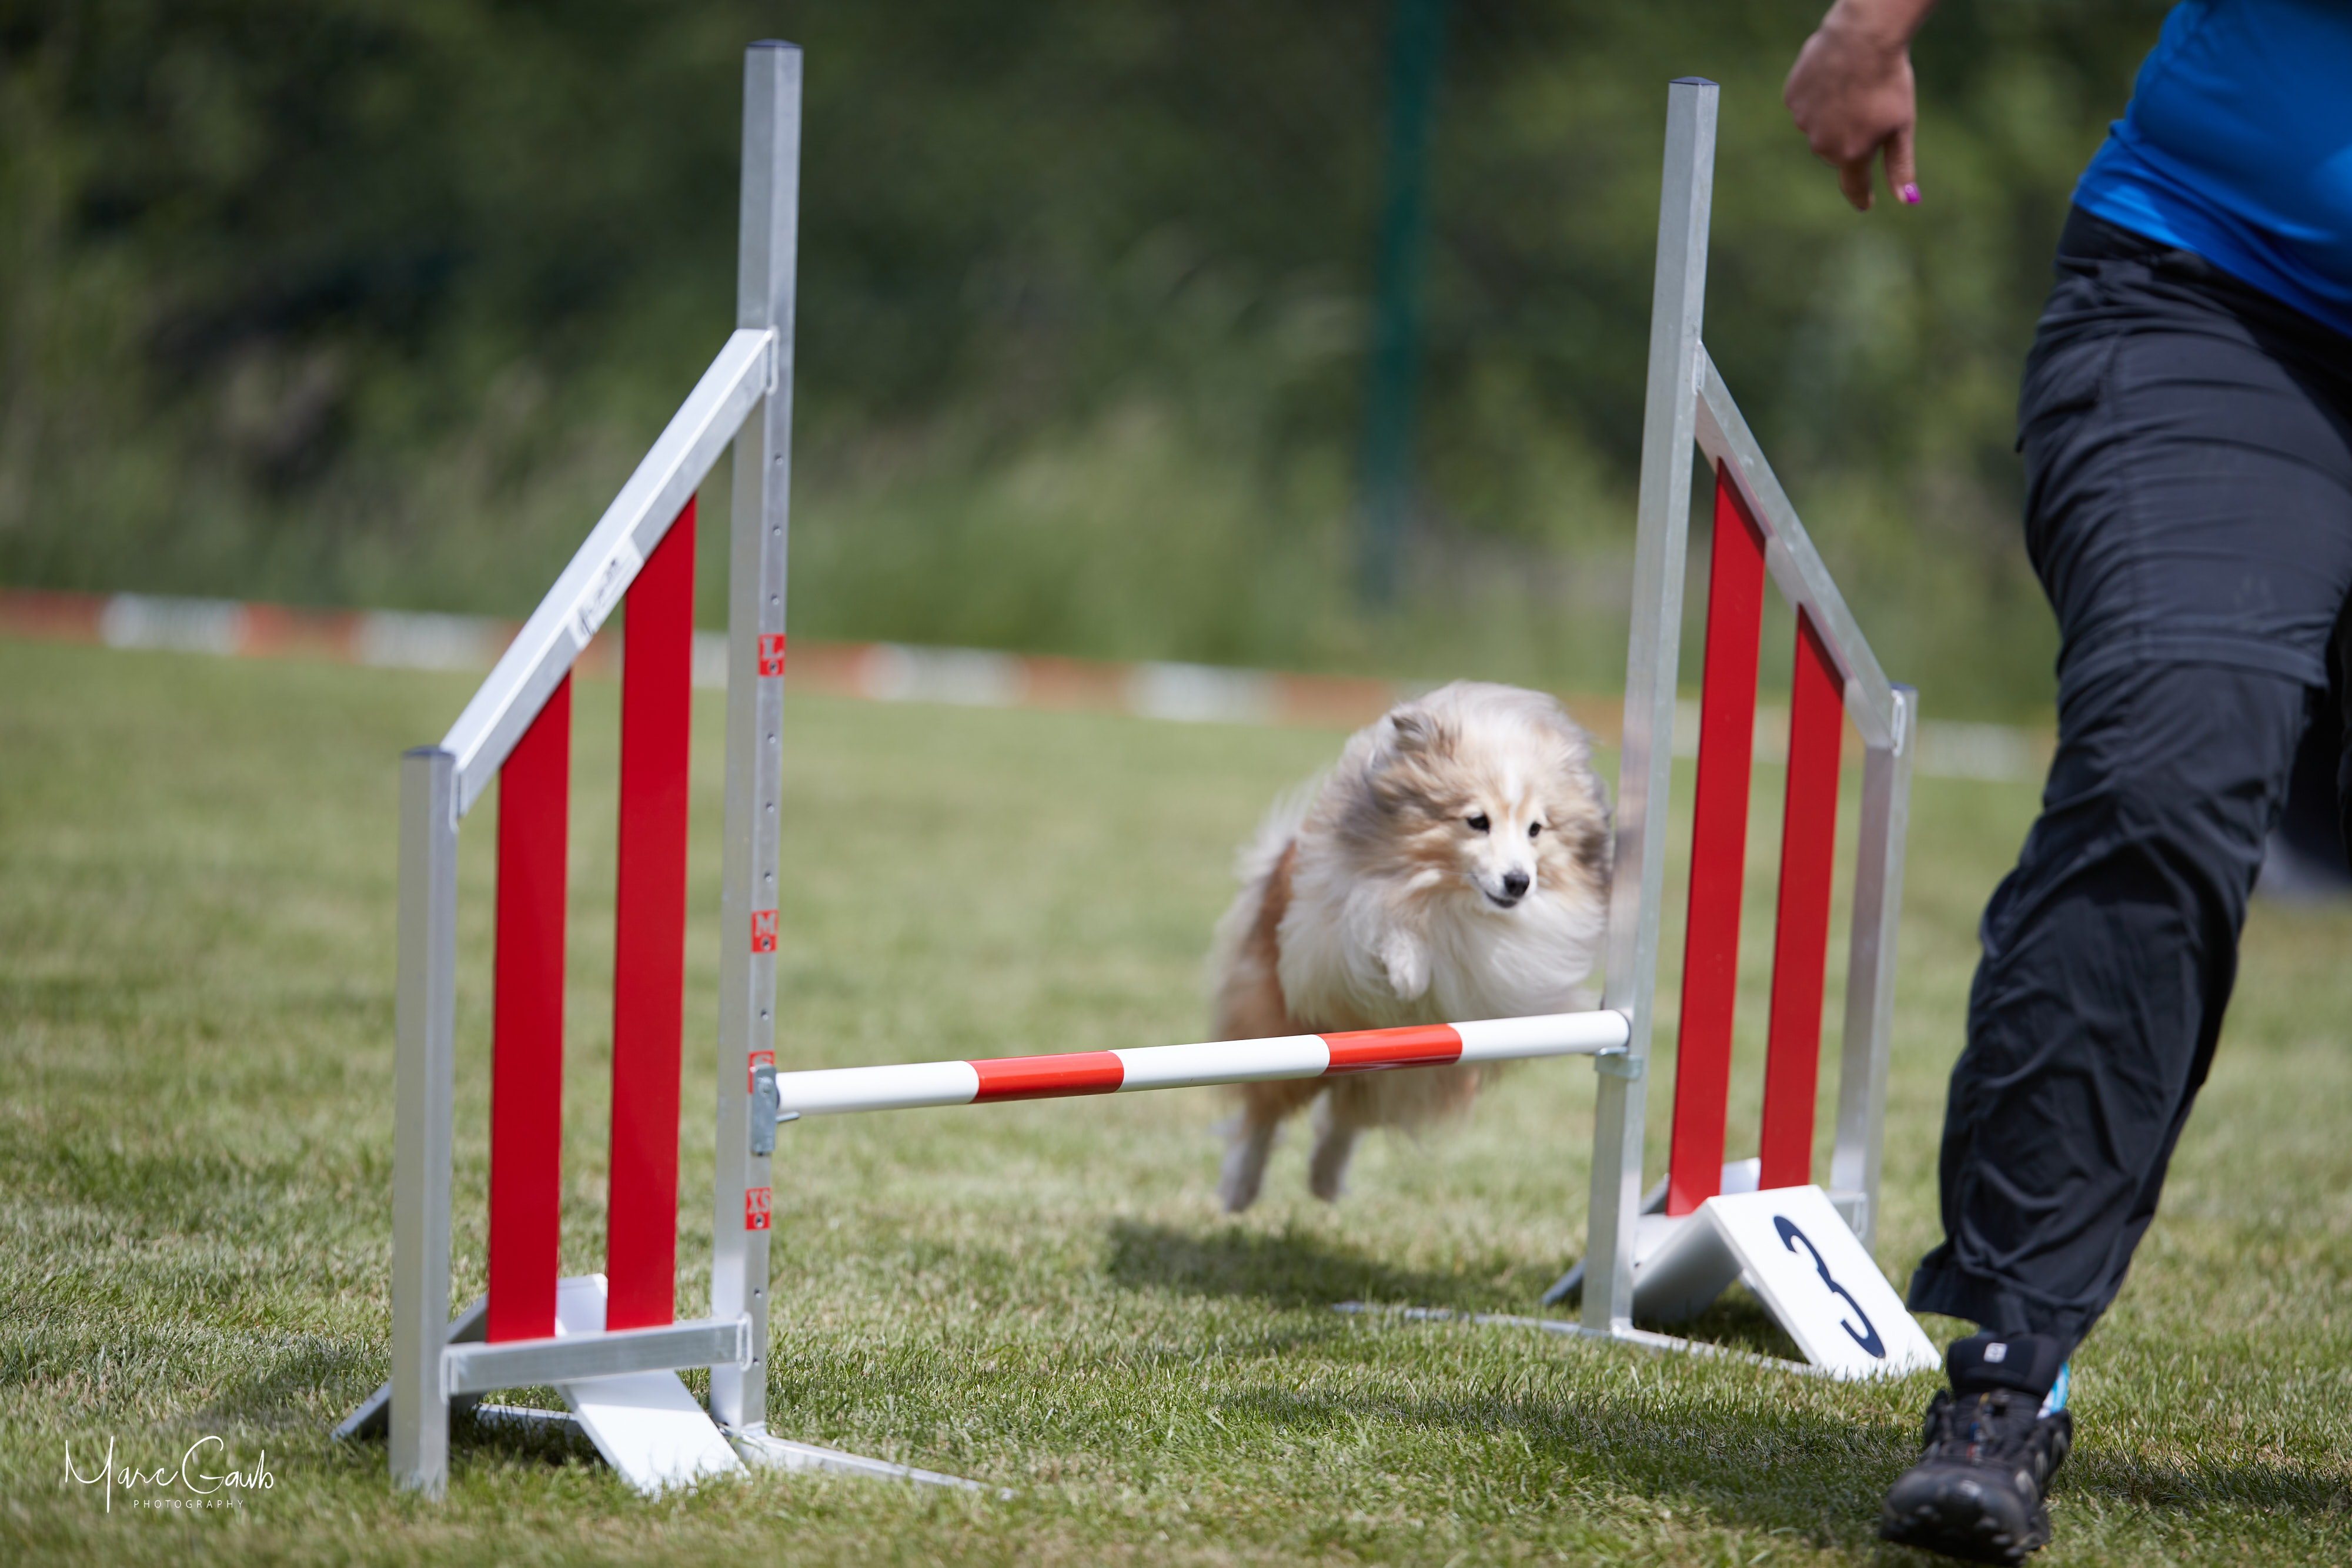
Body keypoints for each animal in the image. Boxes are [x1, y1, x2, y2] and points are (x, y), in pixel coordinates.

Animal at [1207, 680, 1612, 1211]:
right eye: (1477, 820)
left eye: (1536, 828)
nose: (1519, 882)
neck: (1450, 897)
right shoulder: (1345, 918)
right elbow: (1390, 925)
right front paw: (1410, 973)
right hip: (1285, 1032)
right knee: (1265, 1113)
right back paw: (1240, 1189)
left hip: (1397, 1069)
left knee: (1345, 1117)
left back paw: (1325, 1181)